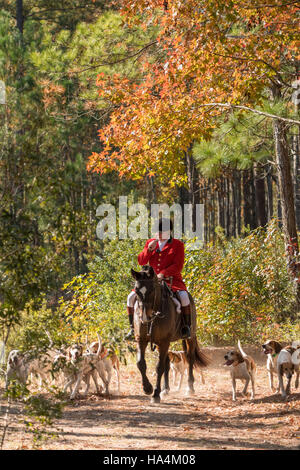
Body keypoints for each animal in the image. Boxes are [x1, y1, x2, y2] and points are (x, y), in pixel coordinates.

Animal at [130, 266, 210, 402]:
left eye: (152, 290)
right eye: (136, 291)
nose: (144, 317)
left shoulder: (163, 342)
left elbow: (159, 367)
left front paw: (155, 394)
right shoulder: (142, 340)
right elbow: (141, 363)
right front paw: (148, 388)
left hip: (190, 337)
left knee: (190, 358)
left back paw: (189, 388)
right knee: (167, 363)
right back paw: (165, 389)